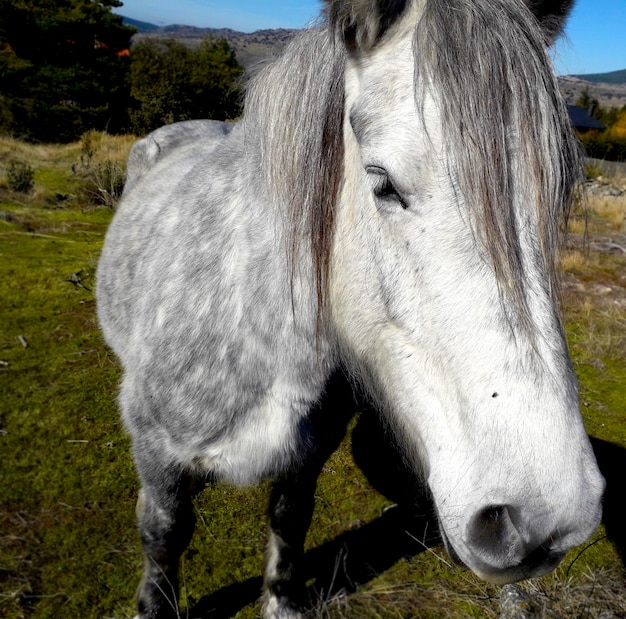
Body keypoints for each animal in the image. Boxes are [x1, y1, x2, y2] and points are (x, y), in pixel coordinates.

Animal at [97, 1, 604, 619]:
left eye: (559, 191)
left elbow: (289, 522)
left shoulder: (305, 458)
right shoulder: (156, 458)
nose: (547, 523)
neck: (253, 334)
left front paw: (283, 601)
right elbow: (164, 533)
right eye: (382, 183)